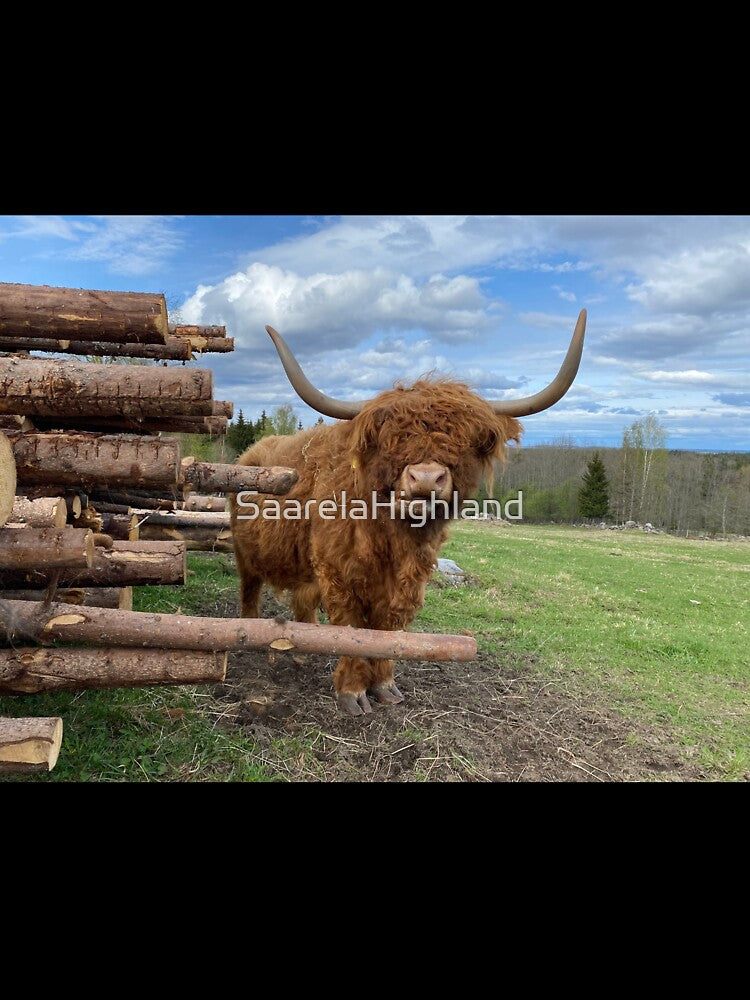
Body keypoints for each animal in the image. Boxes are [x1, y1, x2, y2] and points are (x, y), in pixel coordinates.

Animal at [230, 310, 586, 715]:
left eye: (466, 441)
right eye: (391, 440)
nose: (426, 478)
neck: (391, 537)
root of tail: (251, 452)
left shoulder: (407, 579)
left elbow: (388, 629)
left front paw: (385, 687)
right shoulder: (339, 574)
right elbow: (351, 629)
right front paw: (352, 692)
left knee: (302, 603)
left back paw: (304, 652)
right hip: (245, 554)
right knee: (250, 590)